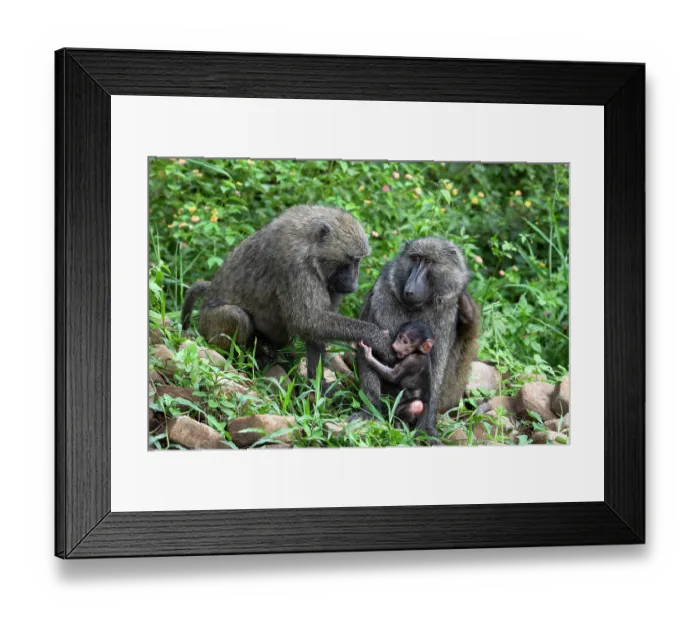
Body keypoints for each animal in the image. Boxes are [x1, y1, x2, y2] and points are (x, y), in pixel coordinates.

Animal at [180, 204, 394, 383]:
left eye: (358, 261)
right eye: (349, 261)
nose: (352, 285)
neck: (312, 246)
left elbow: (315, 328)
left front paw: (318, 387)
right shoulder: (294, 264)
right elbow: (308, 321)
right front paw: (378, 338)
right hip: (208, 325)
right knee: (236, 316)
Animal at [356, 237, 481, 445]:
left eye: (428, 261)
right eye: (415, 259)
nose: (410, 289)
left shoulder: (447, 310)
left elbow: (436, 366)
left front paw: (427, 428)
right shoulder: (381, 295)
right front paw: (370, 410)